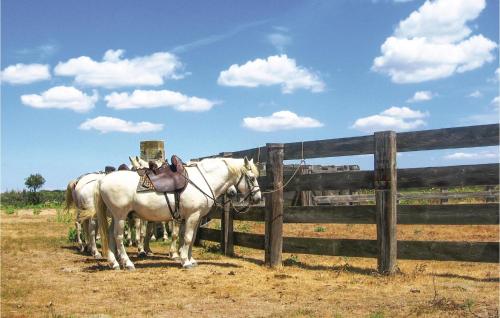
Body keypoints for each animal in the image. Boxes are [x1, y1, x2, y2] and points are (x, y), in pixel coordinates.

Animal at [94, 158, 262, 270]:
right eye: (252, 178)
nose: (258, 198)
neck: (202, 180)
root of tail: (103, 180)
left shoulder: (194, 218)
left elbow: (190, 239)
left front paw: (190, 259)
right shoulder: (192, 216)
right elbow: (187, 238)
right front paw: (185, 262)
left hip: (115, 217)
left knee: (110, 235)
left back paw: (114, 262)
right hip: (120, 216)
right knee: (118, 237)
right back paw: (127, 263)